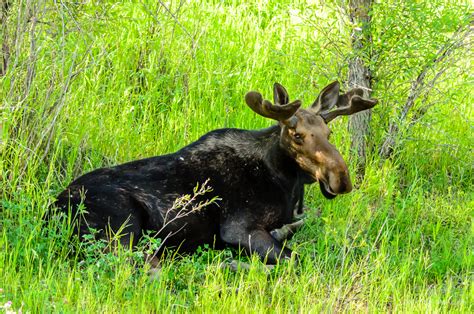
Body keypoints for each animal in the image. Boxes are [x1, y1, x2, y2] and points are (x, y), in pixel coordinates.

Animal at [54, 81, 378, 264]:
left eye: (329, 132)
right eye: (297, 135)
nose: (341, 179)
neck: (286, 184)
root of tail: (52, 210)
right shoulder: (238, 227)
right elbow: (295, 260)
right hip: (122, 230)